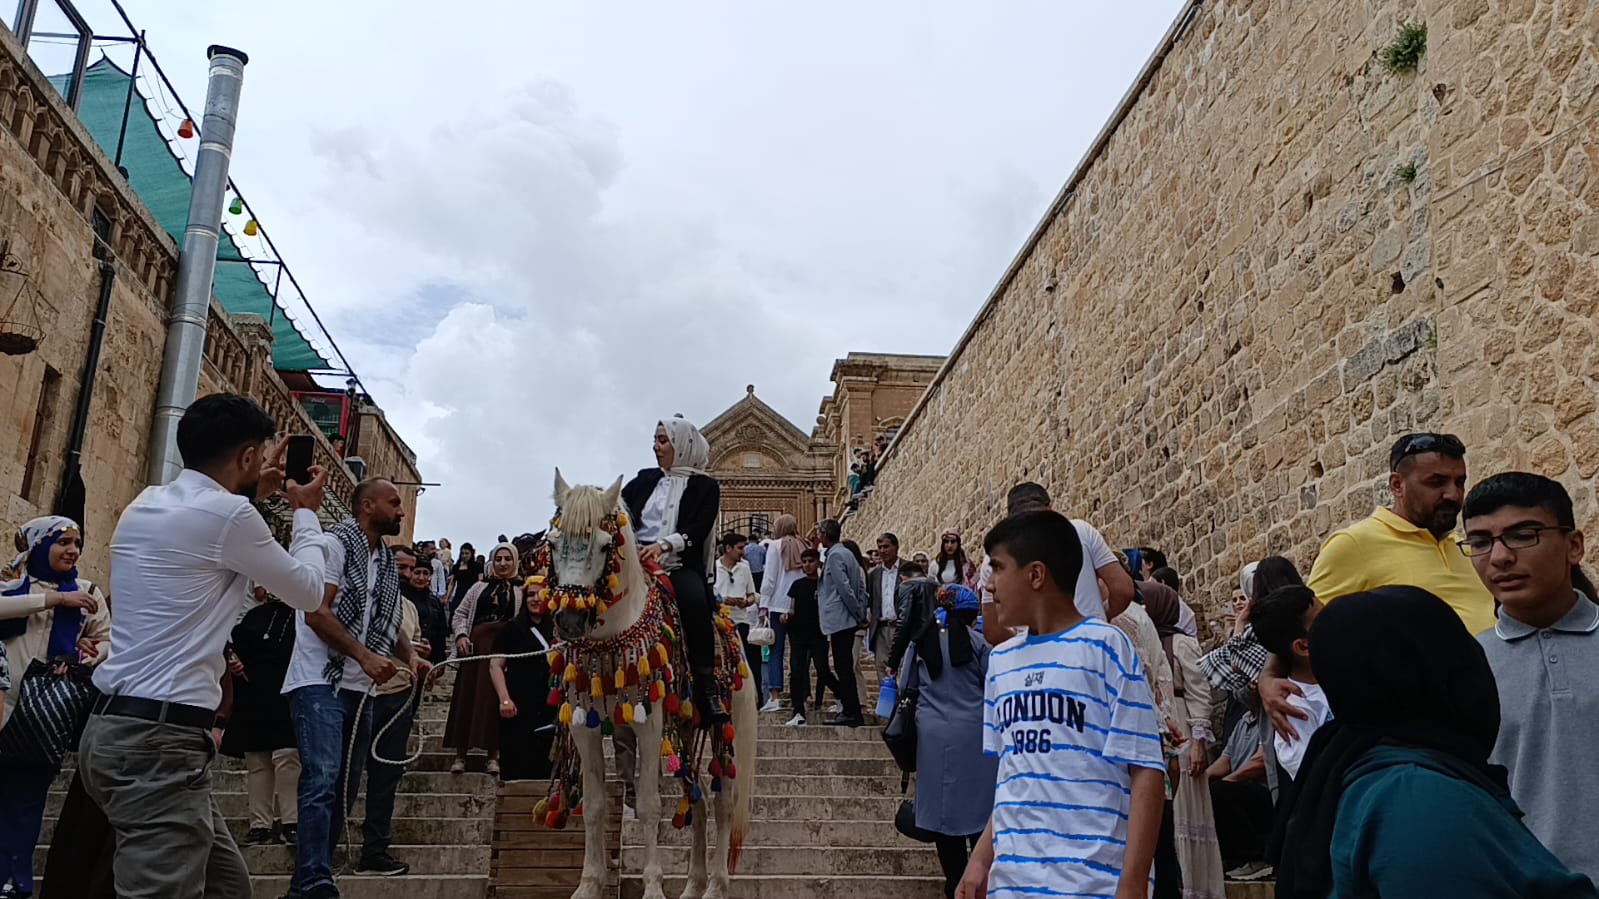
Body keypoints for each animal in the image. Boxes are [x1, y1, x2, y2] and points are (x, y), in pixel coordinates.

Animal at [540, 470, 757, 895]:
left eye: (605, 545)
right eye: (553, 543)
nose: (570, 621)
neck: (609, 634)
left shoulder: (650, 721)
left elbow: (649, 804)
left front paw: (653, 886)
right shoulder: (585, 725)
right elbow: (594, 805)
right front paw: (588, 884)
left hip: (725, 723)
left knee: (724, 800)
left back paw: (716, 886)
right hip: (686, 729)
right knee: (698, 798)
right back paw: (692, 886)